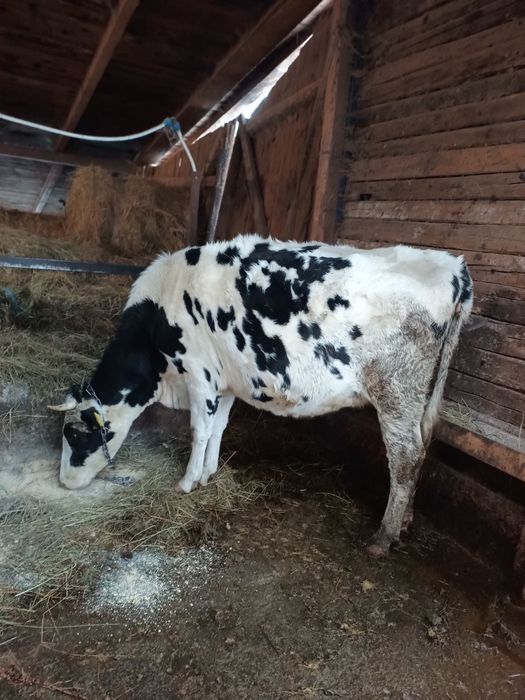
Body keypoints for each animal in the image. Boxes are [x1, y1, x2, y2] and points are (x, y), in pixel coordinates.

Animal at [49, 234, 473, 555]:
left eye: (75, 435)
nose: (65, 482)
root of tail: (451, 264)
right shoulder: (225, 381)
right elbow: (218, 428)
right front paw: (209, 474)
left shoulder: (199, 374)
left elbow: (199, 431)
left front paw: (187, 483)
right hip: (416, 395)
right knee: (420, 449)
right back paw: (406, 522)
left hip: (396, 389)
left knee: (405, 456)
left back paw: (384, 536)